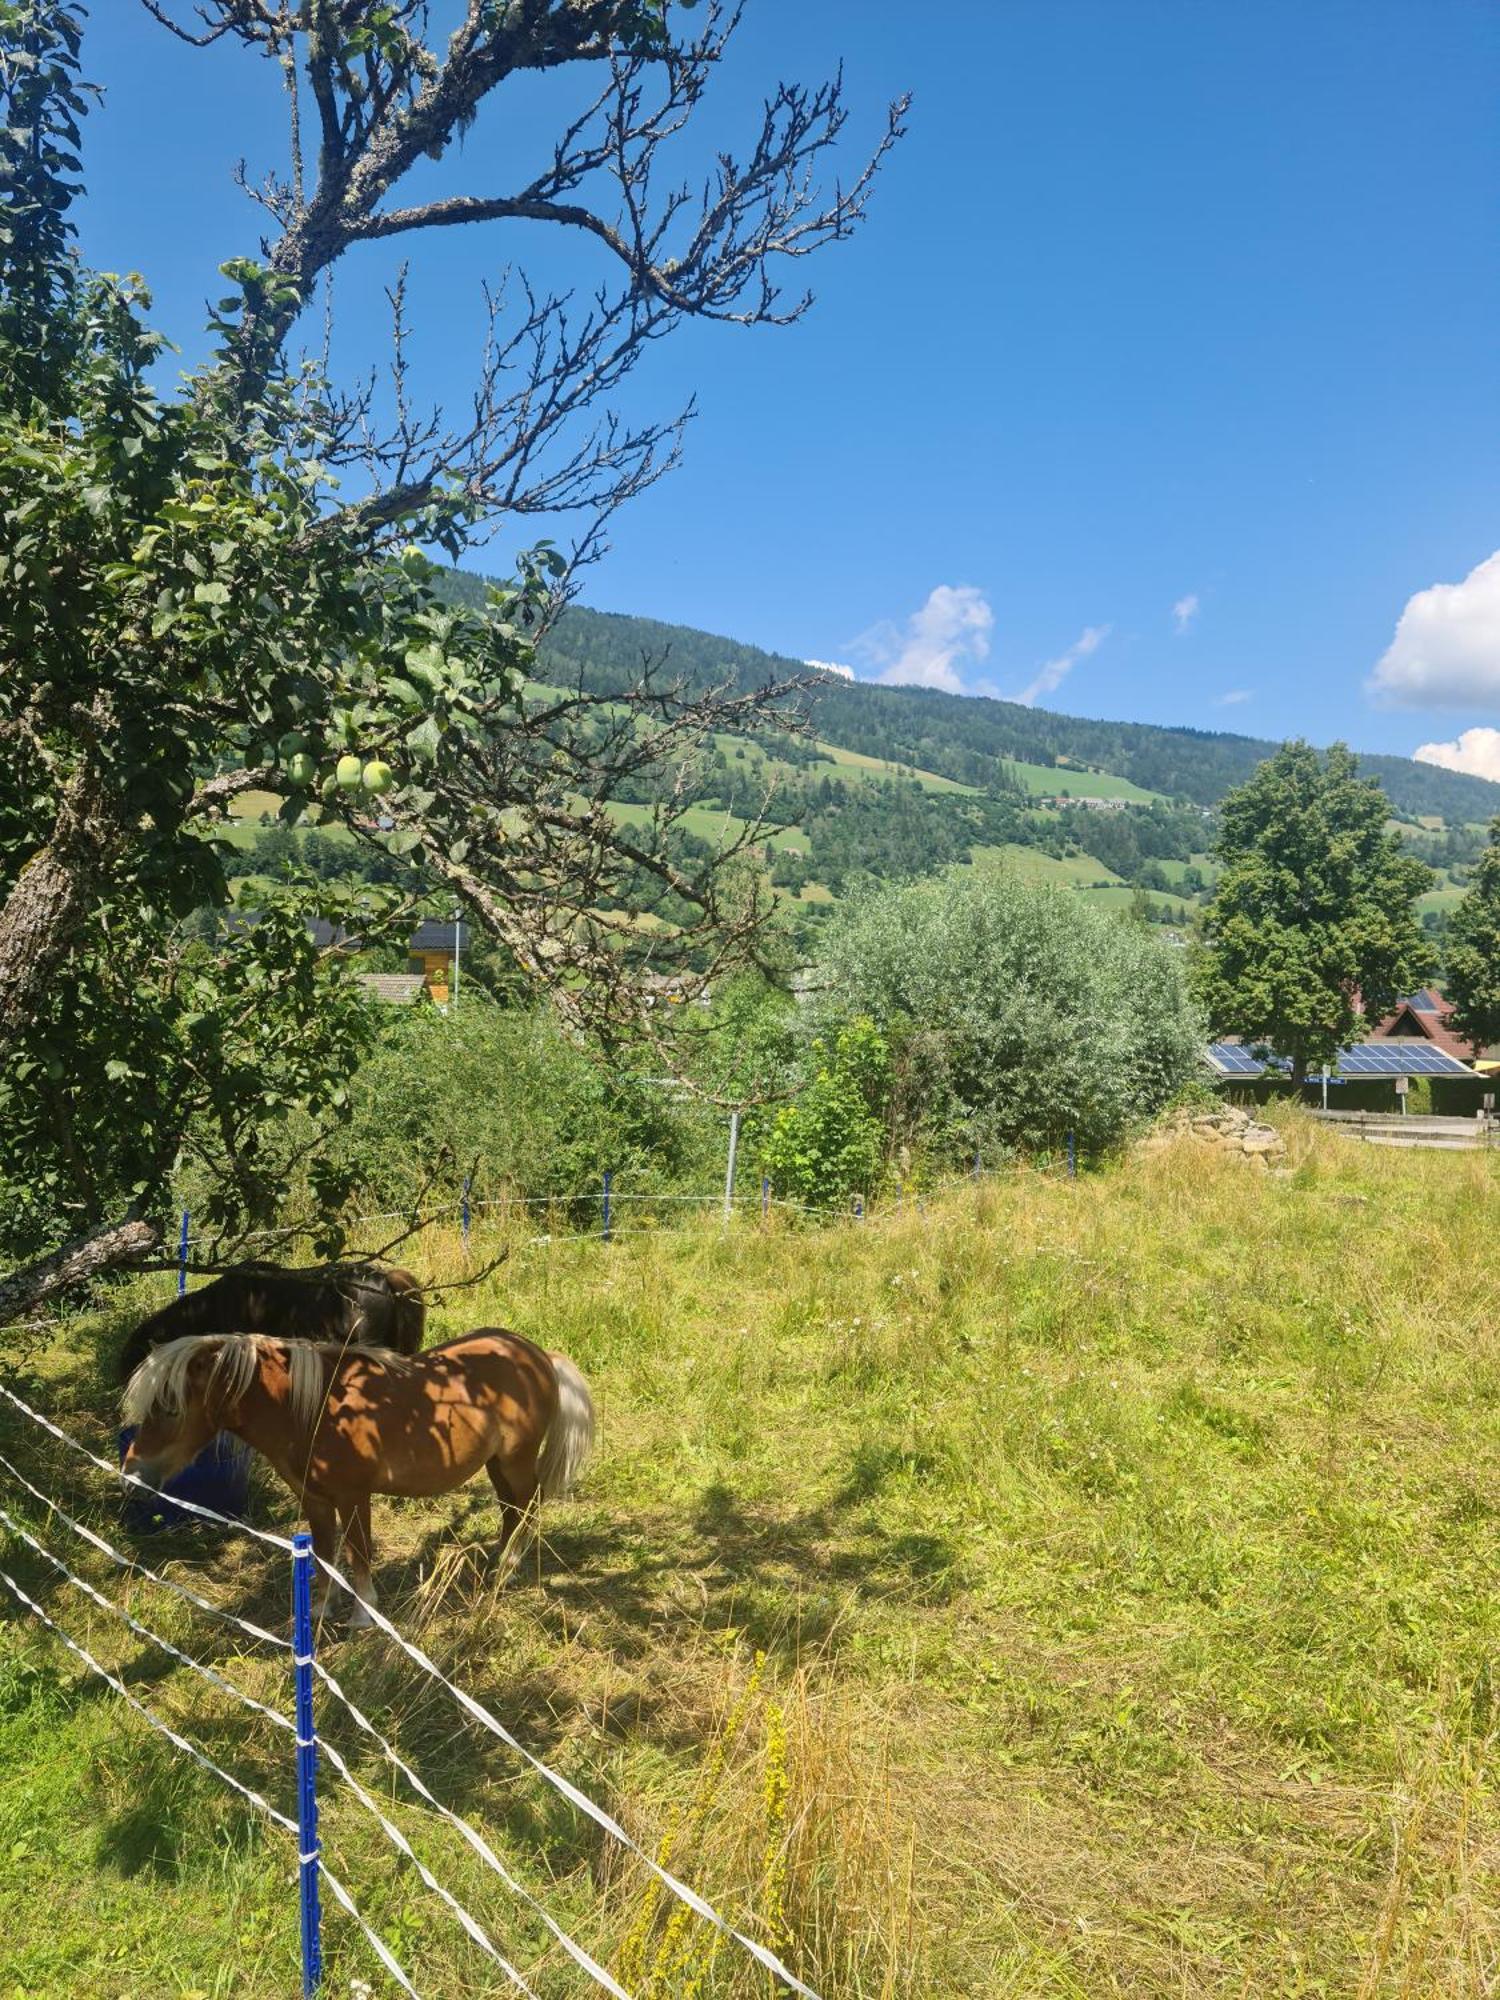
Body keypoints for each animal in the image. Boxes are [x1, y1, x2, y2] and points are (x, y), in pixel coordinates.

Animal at [120, 1328, 596, 1624]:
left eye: (170, 1406)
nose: (132, 1473)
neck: (312, 1410)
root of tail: (538, 1356)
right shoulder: (314, 1499)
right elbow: (326, 1554)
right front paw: (322, 1608)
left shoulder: (353, 1496)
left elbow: (359, 1553)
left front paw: (363, 1614)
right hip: (496, 1464)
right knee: (511, 1508)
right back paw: (498, 1563)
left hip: (516, 1460)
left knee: (528, 1504)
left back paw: (509, 1570)